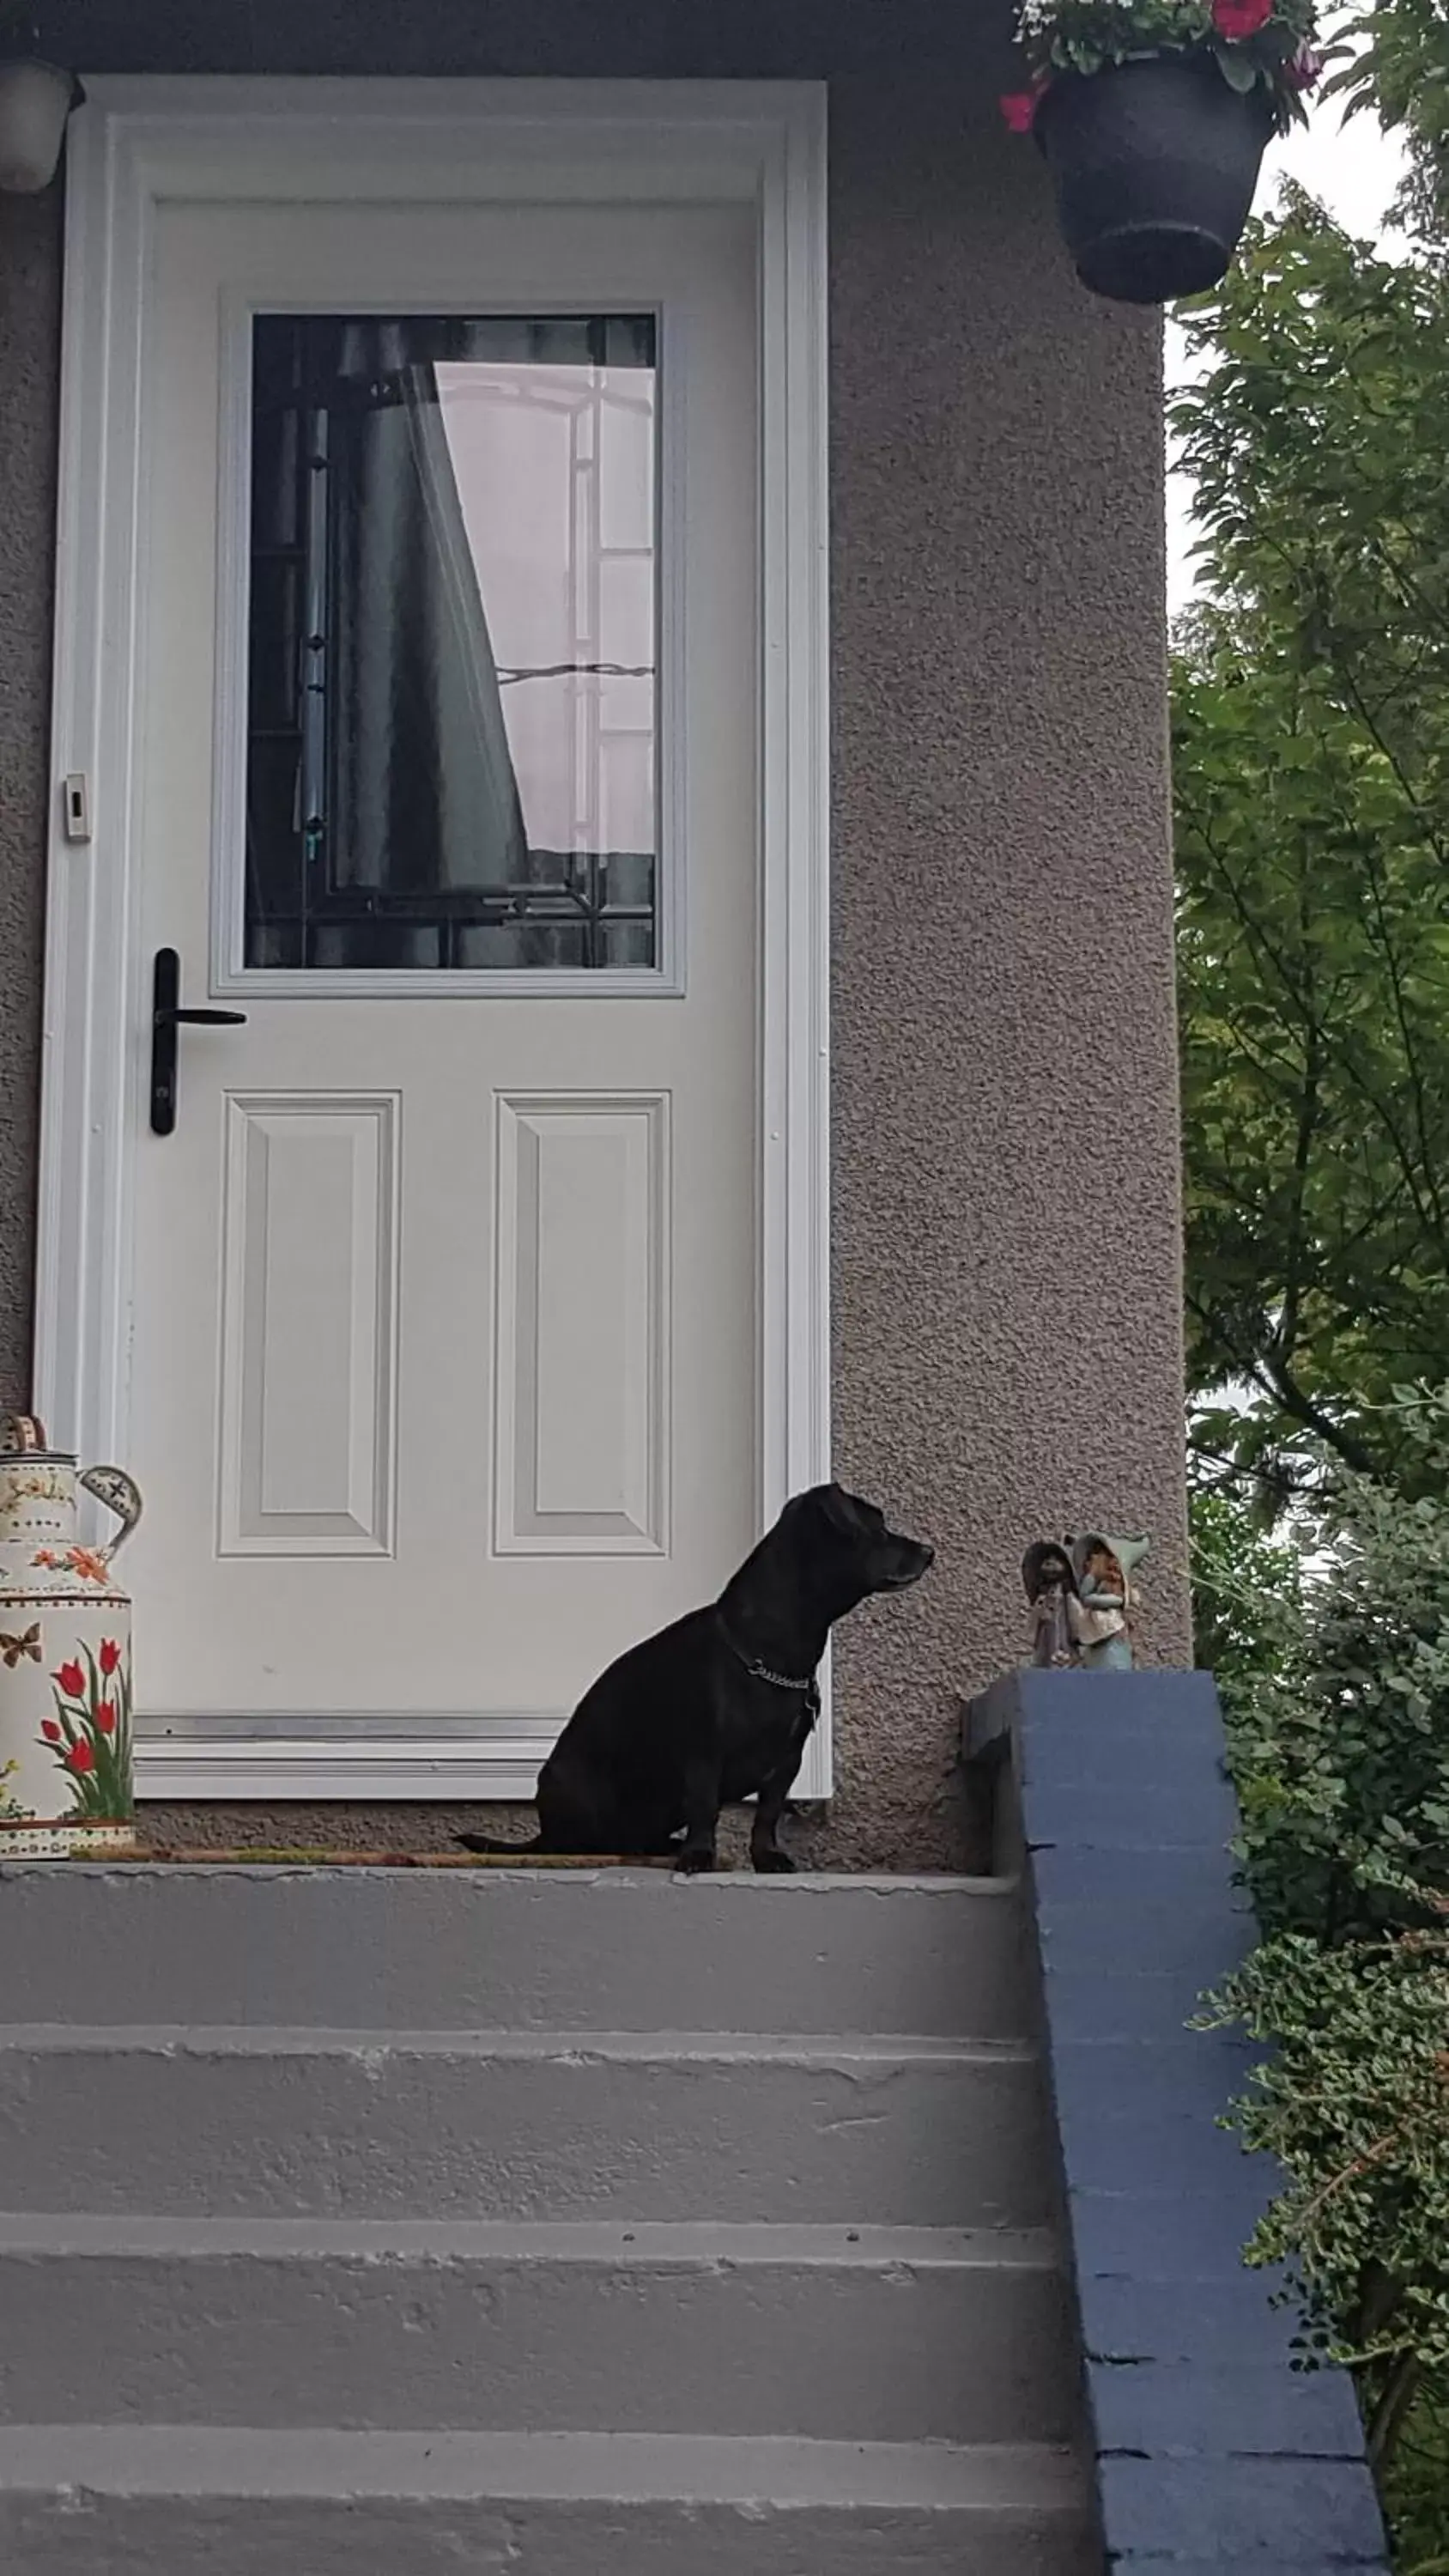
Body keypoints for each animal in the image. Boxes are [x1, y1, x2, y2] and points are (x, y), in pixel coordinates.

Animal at [458, 1494, 937, 1875]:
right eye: (878, 1528)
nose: (930, 1550)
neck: (767, 1650)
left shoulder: (787, 1762)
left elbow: (767, 1815)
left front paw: (766, 1858)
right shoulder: (704, 1752)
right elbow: (705, 1807)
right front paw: (700, 1856)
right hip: (576, 1791)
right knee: (578, 1843)